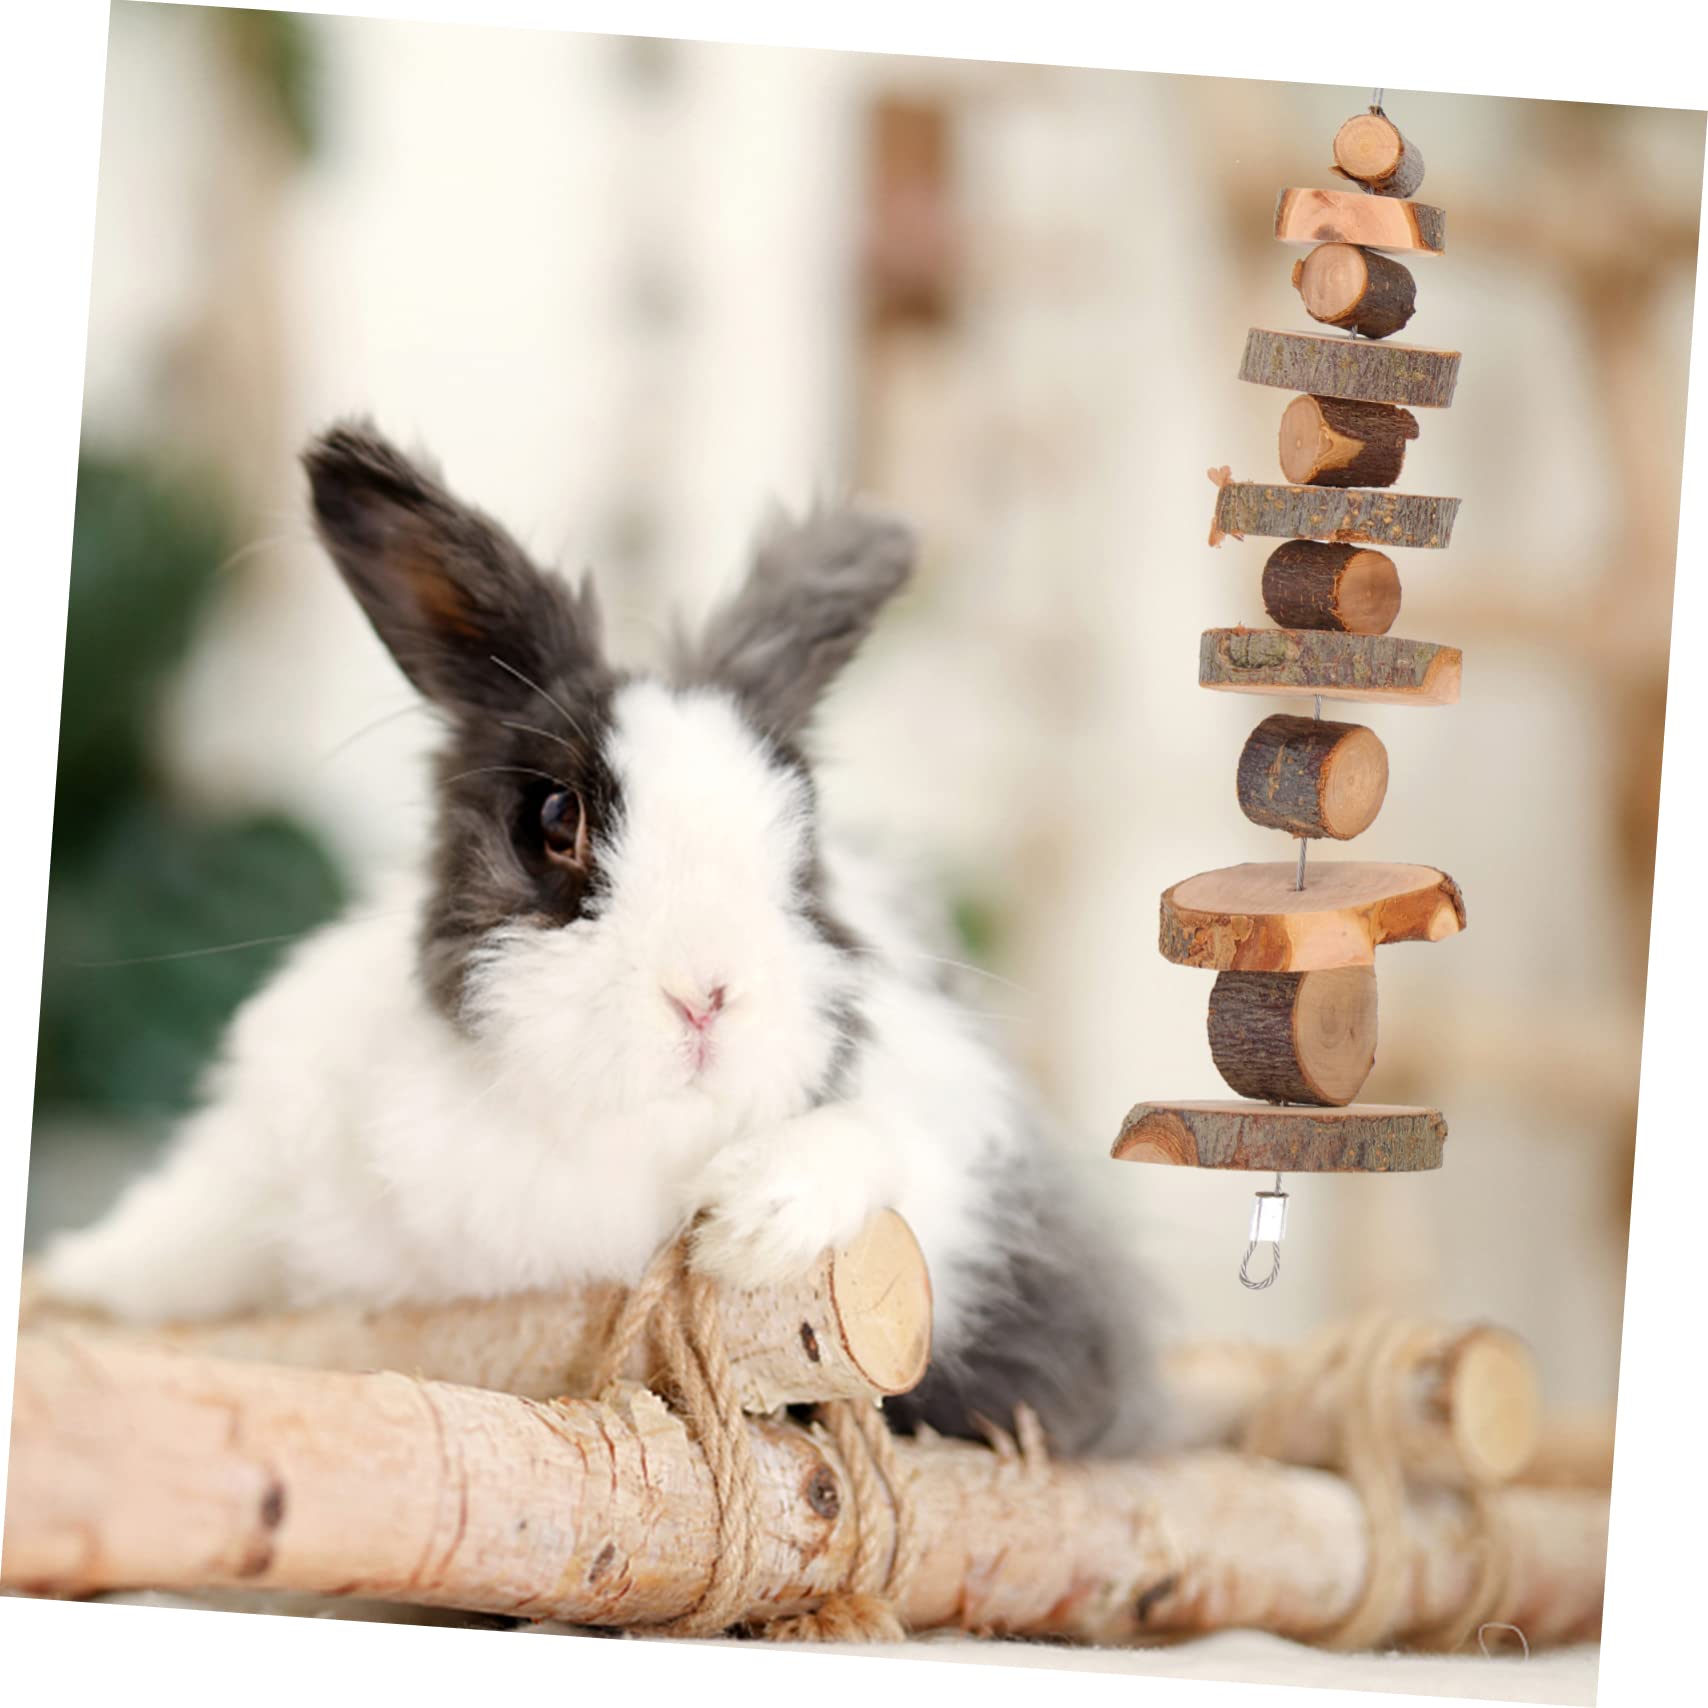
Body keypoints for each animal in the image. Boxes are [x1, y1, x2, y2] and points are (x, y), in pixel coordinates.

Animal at [36, 420, 1163, 1455]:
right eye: (553, 819)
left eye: (804, 833)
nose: (706, 994)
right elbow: (180, 1231)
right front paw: (74, 1279)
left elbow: (879, 1141)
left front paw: (756, 1223)